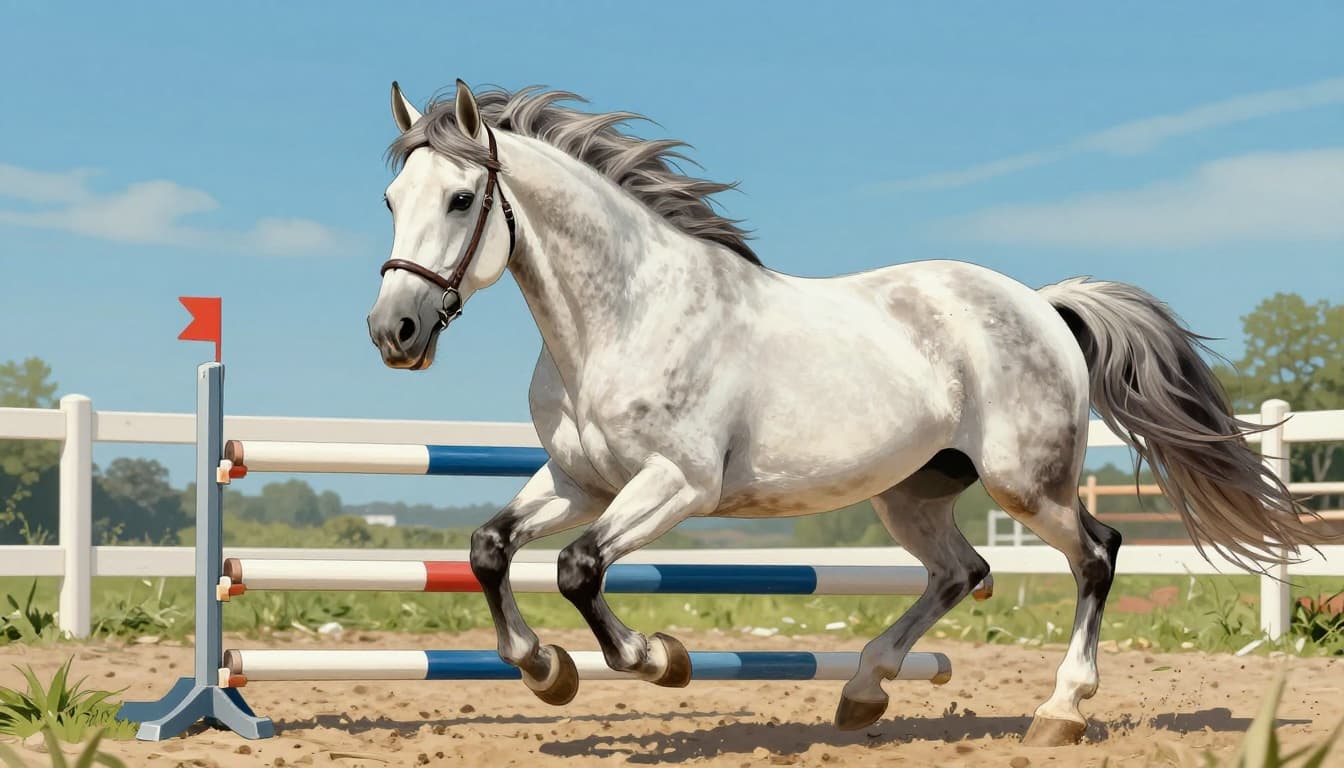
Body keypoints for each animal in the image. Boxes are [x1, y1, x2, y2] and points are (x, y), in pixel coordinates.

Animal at [365, 79, 1316, 746]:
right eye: (390, 201)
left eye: (460, 200)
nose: (393, 332)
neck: (623, 315)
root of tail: (1041, 303)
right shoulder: (579, 481)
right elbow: (490, 550)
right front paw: (545, 670)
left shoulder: (677, 485)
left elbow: (578, 569)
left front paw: (656, 660)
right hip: (914, 492)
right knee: (962, 571)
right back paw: (863, 693)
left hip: (1026, 482)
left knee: (1096, 554)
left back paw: (1061, 712)